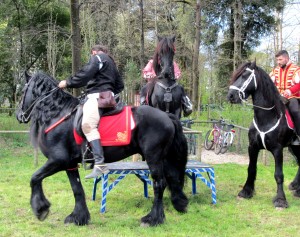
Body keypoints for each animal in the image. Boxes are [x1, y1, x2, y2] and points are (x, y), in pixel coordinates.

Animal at [15, 71, 188, 226]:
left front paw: (40, 209)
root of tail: (167, 116)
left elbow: (35, 177)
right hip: (164, 159)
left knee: (159, 184)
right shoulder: (70, 164)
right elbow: (77, 189)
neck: (58, 113)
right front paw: (78, 217)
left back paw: (153, 219)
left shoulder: (58, 160)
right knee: (171, 179)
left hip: (154, 158)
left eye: (23, 91)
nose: (18, 115)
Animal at [227, 62, 300, 208]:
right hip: (294, 147)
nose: (231, 95)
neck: (267, 117)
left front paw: (280, 200)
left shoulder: (278, 150)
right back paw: (296, 187)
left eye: (245, 75)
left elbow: (279, 175)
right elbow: (251, 169)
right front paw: (246, 191)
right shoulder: (252, 147)